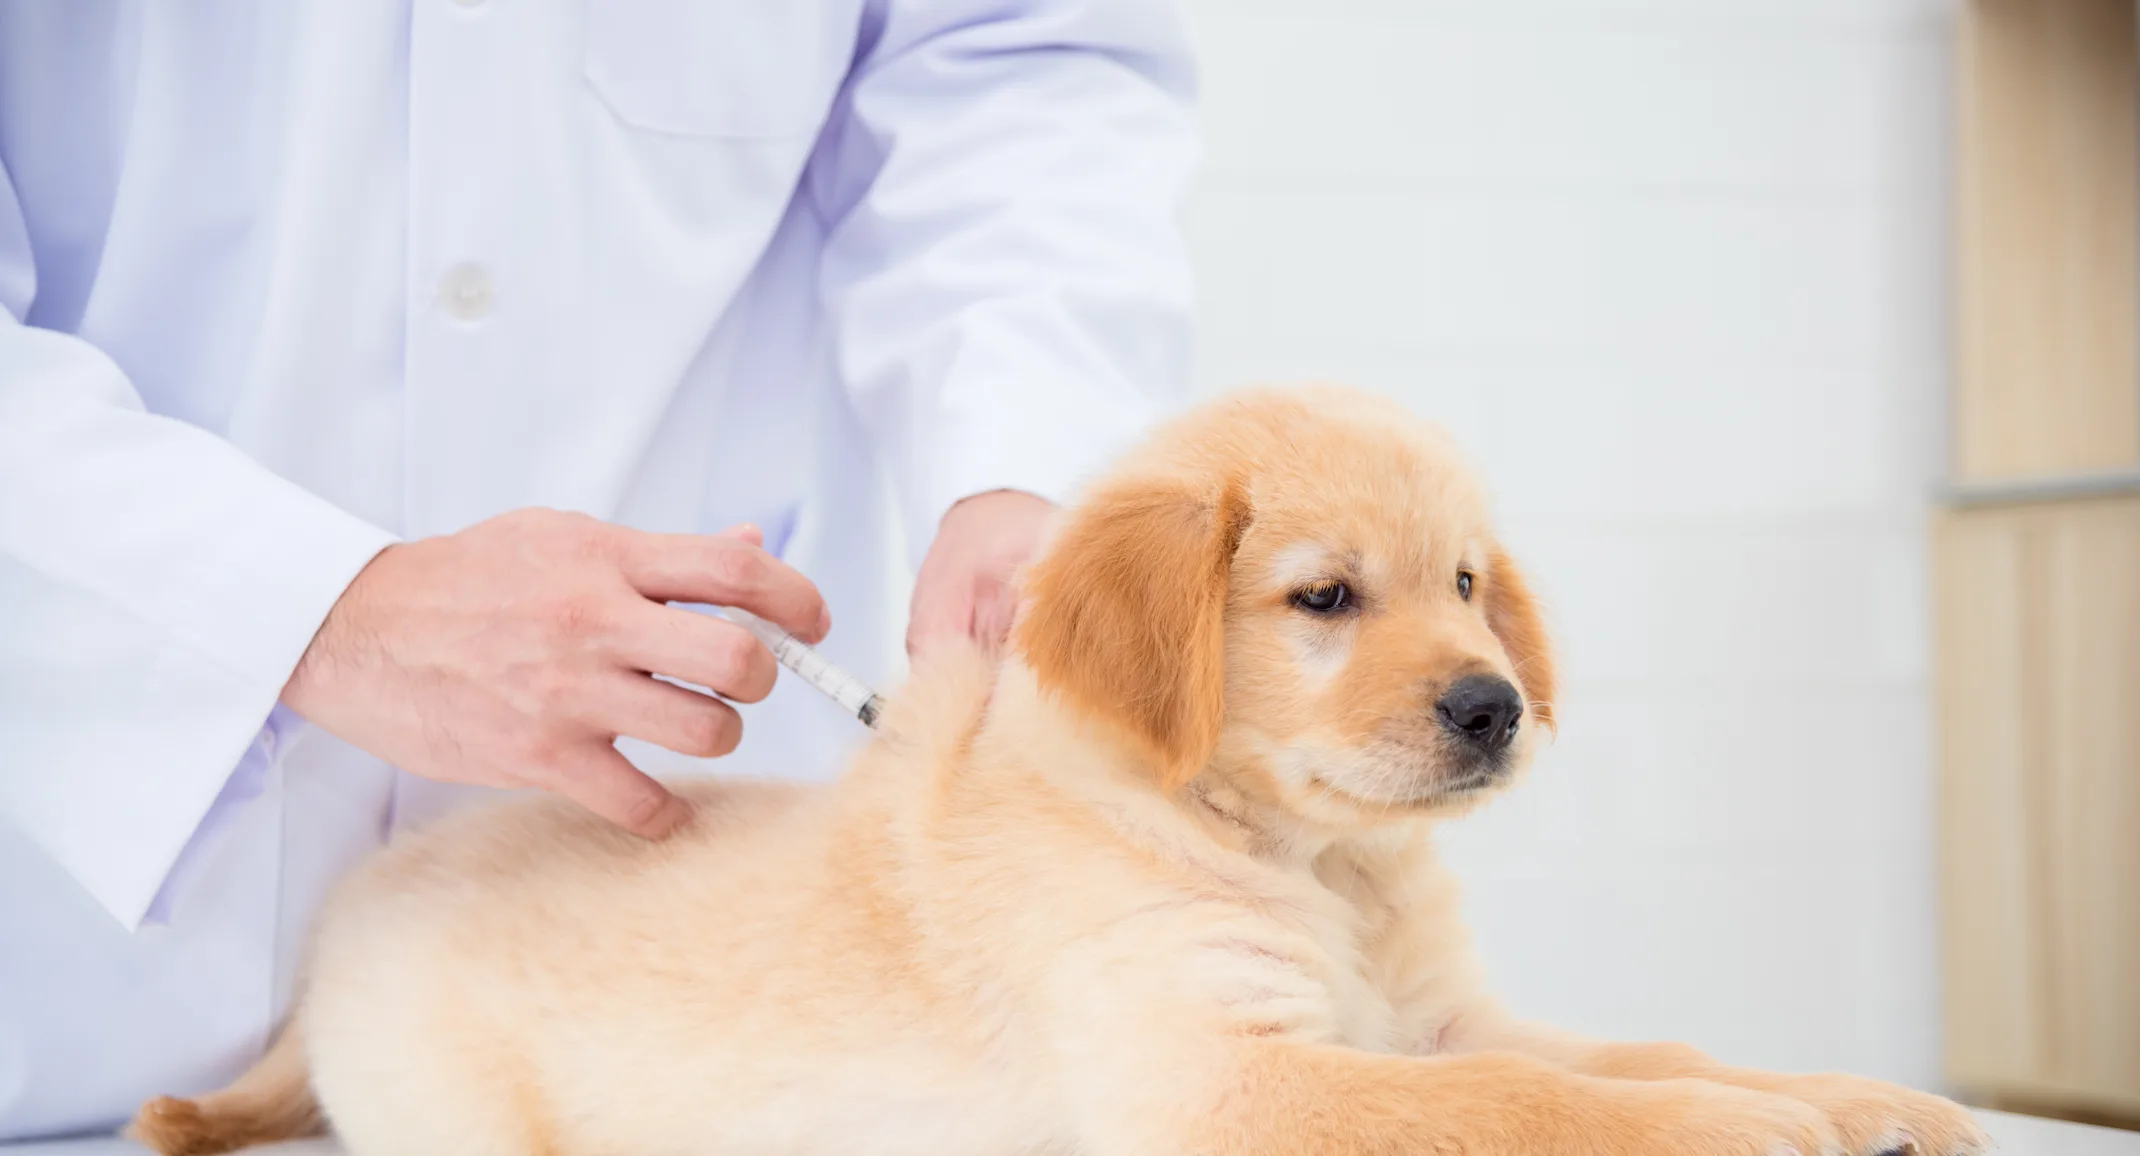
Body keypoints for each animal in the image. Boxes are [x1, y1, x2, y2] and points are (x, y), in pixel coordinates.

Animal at [129, 387, 1968, 1156]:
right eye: (1324, 599)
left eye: (1464, 582)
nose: (1496, 707)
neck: (1318, 866)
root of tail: (353, 911)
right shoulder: (1226, 1078)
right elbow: (1527, 1107)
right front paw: (1744, 1130)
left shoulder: (1442, 1015)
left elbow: (1634, 1048)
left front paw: (1845, 1092)